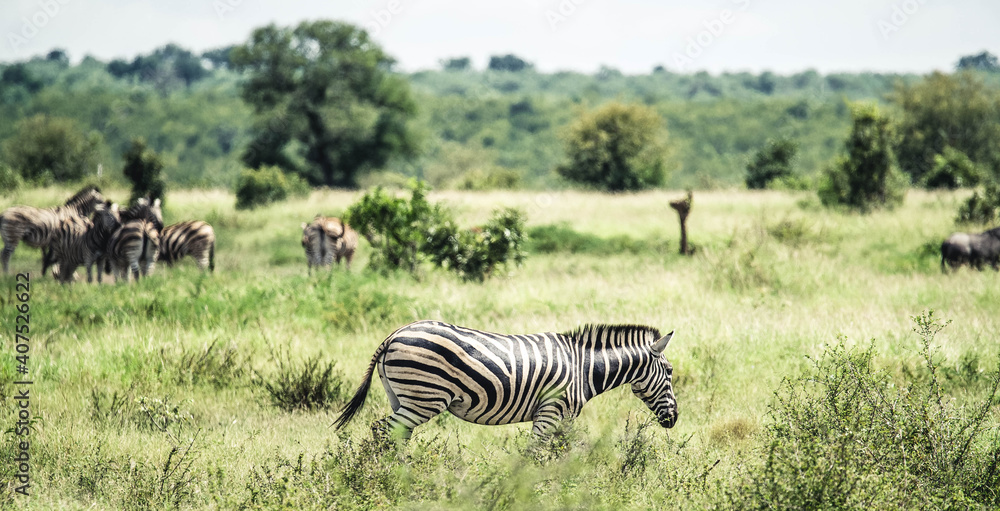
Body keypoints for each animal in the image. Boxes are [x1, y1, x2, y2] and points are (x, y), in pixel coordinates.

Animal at [334, 320, 678, 439]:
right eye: (671, 372)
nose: (674, 419)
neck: (583, 368)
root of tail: (395, 333)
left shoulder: (565, 416)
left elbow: (565, 450)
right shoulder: (550, 410)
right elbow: (535, 452)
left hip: (402, 397)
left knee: (395, 433)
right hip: (425, 398)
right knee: (383, 430)